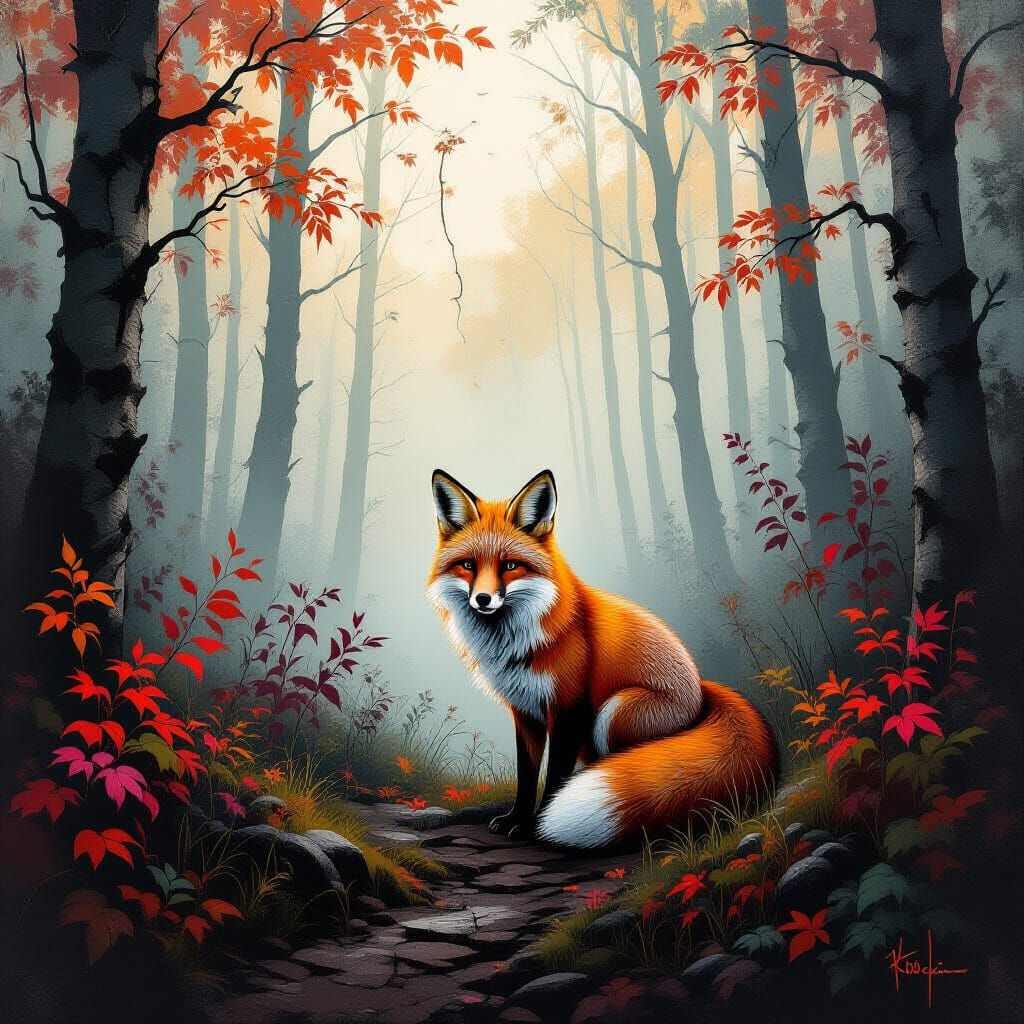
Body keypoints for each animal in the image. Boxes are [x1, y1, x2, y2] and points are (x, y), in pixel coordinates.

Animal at [427, 468, 778, 850]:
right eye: (468, 565)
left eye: (510, 566)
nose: (483, 599)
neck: (518, 642)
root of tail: (701, 689)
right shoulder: (526, 712)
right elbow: (526, 776)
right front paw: (516, 819)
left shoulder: (569, 708)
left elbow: (554, 777)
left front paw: (538, 826)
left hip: (615, 711)